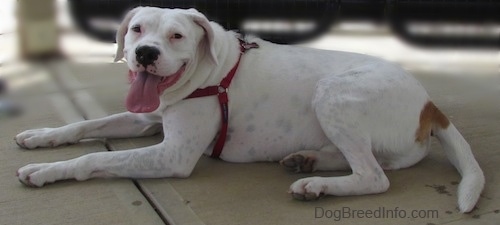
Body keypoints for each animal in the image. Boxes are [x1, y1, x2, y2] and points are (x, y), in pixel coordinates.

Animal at [14, 6, 484, 213]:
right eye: (137, 29)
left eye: (177, 36)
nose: (145, 54)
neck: (207, 71)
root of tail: (431, 104)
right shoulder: (147, 118)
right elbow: (85, 124)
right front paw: (41, 137)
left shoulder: (172, 154)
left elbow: (93, 157)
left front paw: (46, 172)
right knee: (367, 161)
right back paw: (307, 160)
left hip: (333, 93)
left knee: (374, 177)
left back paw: (315, 184)